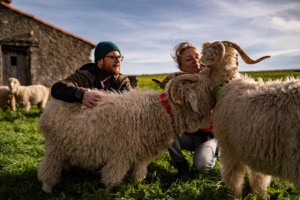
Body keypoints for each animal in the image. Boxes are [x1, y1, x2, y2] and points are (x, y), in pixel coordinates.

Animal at [37, 74, 216, 194]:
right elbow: (112, 177)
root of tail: (50, 107)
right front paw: (107, 192)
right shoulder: (120, 153)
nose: (216, 100)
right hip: (55, 149)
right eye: (205, 88)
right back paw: (47, 189)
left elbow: (138, 173)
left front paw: (137, 186)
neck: (163, 110)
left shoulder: (141, 154)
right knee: (48, 169)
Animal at [170, 39, 298, 199]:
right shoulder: (257, 149)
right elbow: (259, 178)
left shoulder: (230, 147)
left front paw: (235, 195)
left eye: (204, 53)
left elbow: (234, 176)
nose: (200, 64)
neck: (227, 85)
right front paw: (261, 195)